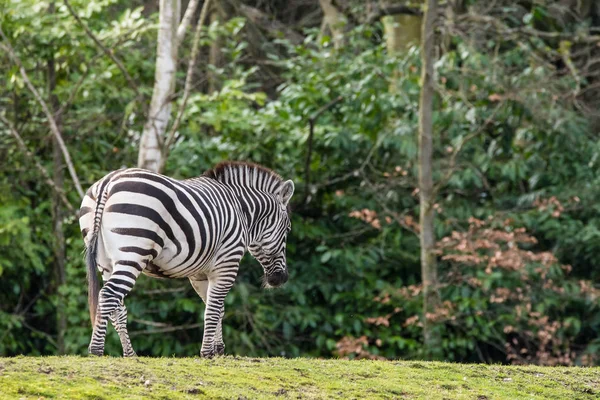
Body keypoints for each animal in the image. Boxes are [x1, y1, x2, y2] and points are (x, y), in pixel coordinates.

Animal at [78, 161, 294, 358]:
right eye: (288, 230)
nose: (281, 278)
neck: (241, 211)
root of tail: (108, 182)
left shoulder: (200, 275)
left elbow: (216, 308)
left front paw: (217, 350)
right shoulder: (228, 262)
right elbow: (213, 309)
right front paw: (207, 353)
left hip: (106, 262)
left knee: (117, 306)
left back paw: (130, 355)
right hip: (133, 253)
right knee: (108, 295)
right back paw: (96, 351)